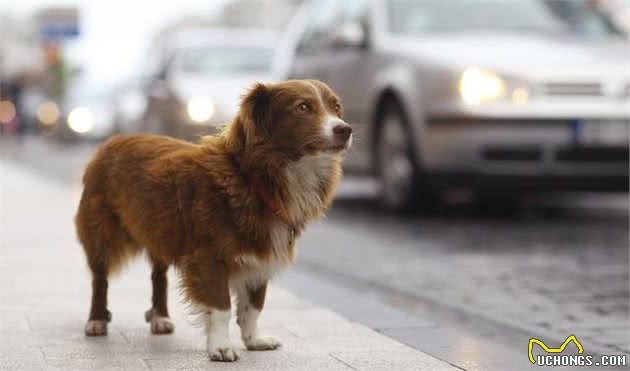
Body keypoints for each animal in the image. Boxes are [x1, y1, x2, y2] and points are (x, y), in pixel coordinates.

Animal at [76, 80, 354, 362]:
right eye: (303, 107)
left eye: (336, 108)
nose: (345, 129)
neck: (253, 179)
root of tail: (111, 141)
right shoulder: (209, 258)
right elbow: (222, 308)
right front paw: (220, 347)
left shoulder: (259, 258)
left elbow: (253, 307)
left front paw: (254, 340)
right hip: (101, 233)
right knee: (100, 279)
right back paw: (96, 320)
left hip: (160, 232)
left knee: (159, 276)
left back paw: (160, 318)